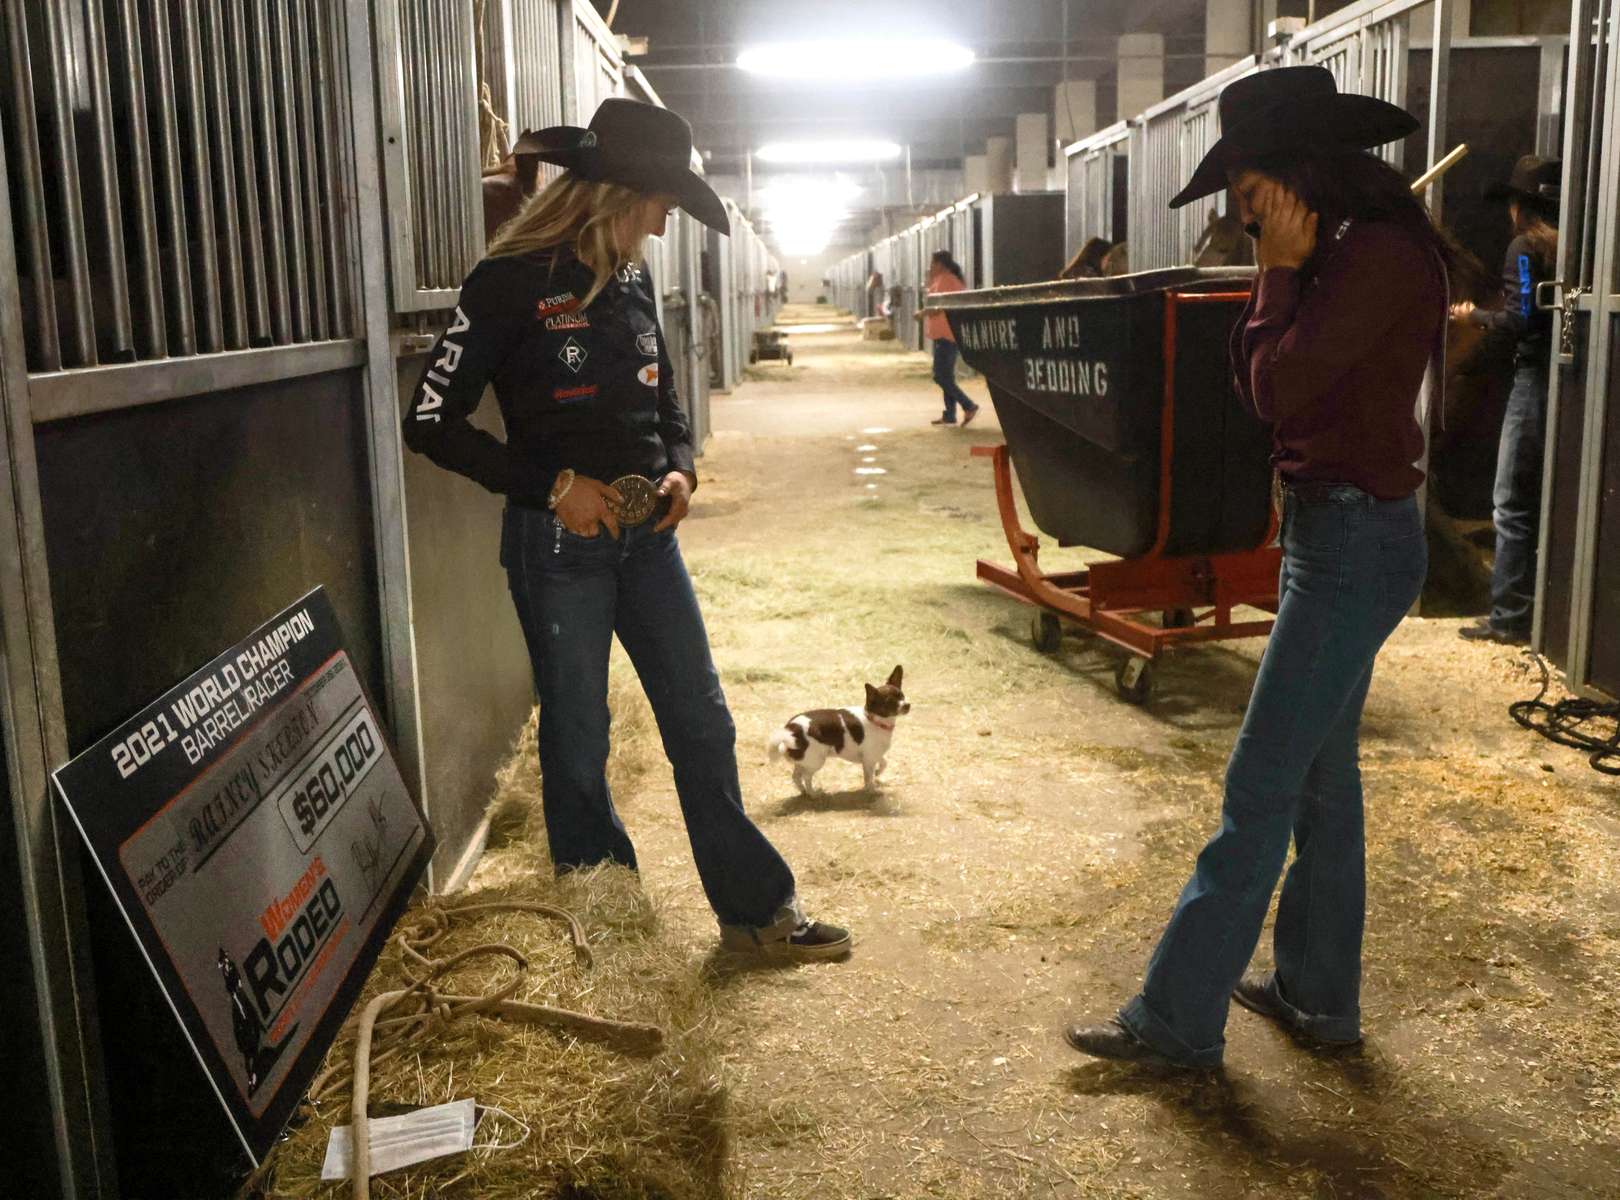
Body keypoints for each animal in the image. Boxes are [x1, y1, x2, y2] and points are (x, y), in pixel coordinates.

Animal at [764, 663, 907, 796]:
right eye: (889, 702)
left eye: (902, 696)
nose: (907, 705)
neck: (874, 720)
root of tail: (791, 730)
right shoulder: (869, 760)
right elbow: (868, 778)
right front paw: (872, 790)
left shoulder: (873, 756)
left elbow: (883, 763)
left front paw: (877, 774)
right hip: (816, 761)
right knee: (807, 777)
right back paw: (813, 794)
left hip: (804, 761)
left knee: (796, 776)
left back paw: (803, 792)